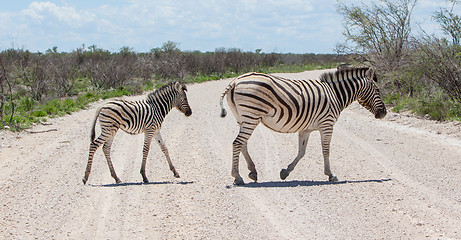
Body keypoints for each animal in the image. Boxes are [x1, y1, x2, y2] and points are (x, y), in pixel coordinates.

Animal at [218, 67, 384, 186]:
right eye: (377, 90)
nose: (384, 113)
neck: (335, 94)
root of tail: (235, 81)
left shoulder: (306, 129)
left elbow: (302, 152)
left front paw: (285, 172)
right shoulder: (327, 124)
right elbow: (326, 151)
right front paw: (330, 175)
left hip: (243, 118)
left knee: (243, 144)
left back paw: (252, 172)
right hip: (251, 115)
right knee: (237, 143)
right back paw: (237, 177)